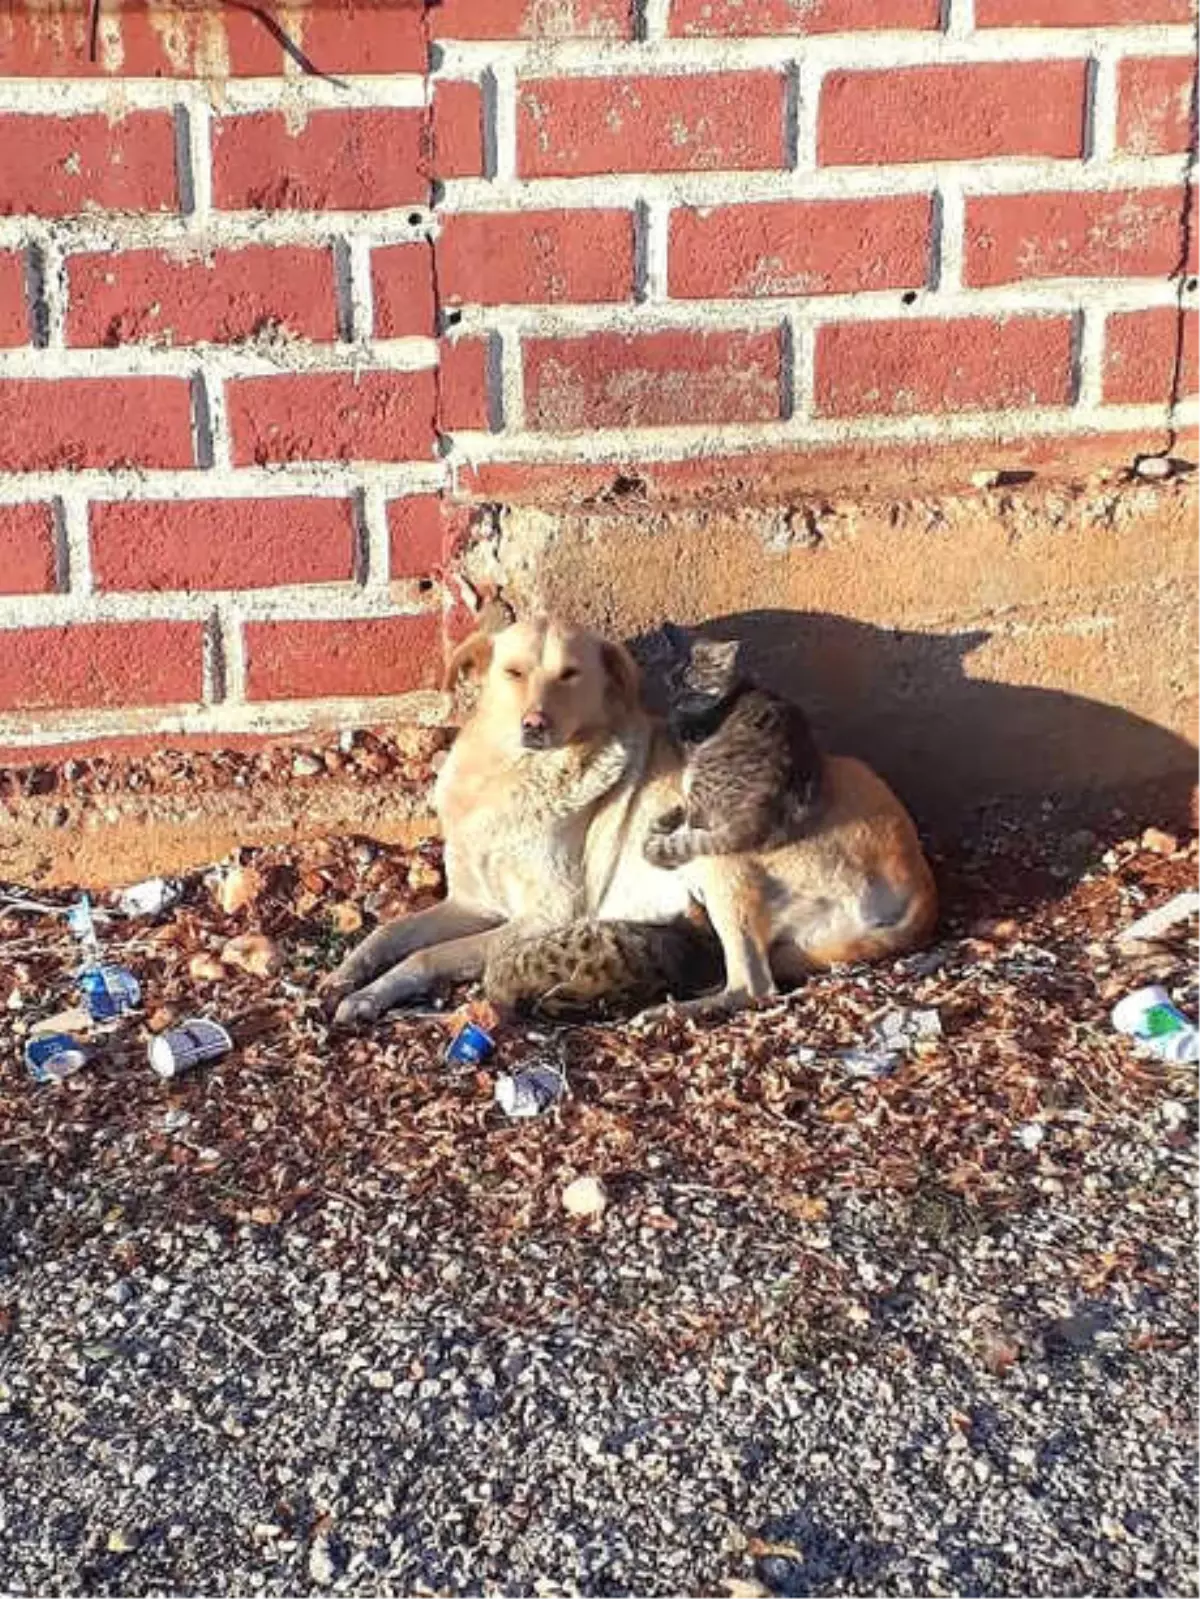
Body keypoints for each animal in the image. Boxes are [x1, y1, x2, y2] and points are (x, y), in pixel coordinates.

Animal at [643, 626, 825, 876]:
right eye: (671, 684)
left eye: (692, 689)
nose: (674, 701)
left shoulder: (689, 739)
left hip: (699, 777)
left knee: (693, 825)